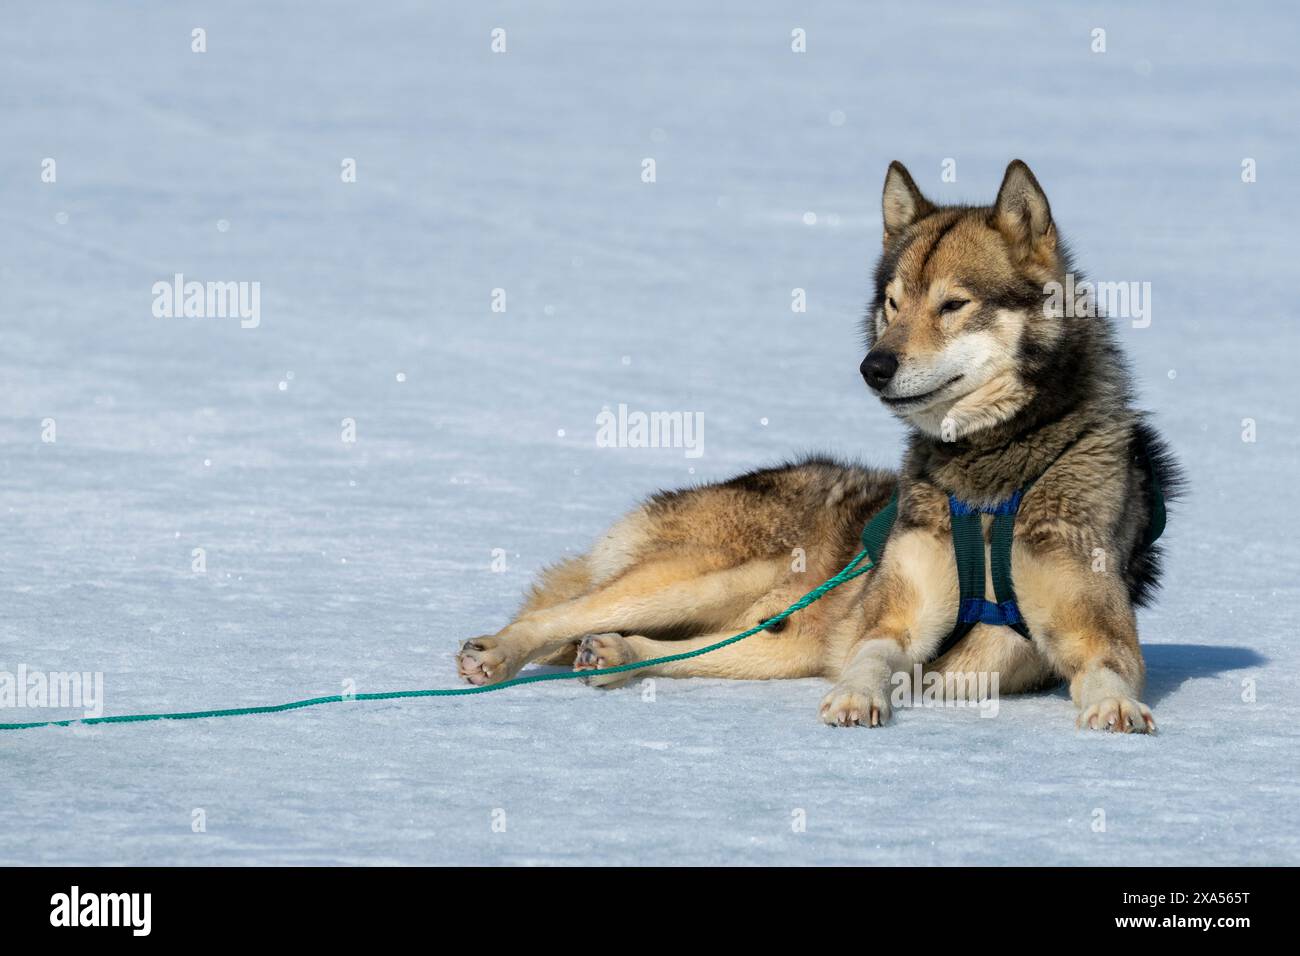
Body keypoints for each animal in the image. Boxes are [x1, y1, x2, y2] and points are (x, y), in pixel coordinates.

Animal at [457, 162, 1180, 733]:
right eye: (892, 303)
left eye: (953, 304)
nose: (873, 366)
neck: (987, 478)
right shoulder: (895, 617)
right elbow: (872, 655)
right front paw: (856, 699)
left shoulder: (1091, 625)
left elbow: (1108, 667)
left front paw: (1115, 707)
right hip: (703, 578)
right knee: (562, 611)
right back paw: (498, 651)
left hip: (772, 643)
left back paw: (612, 656)